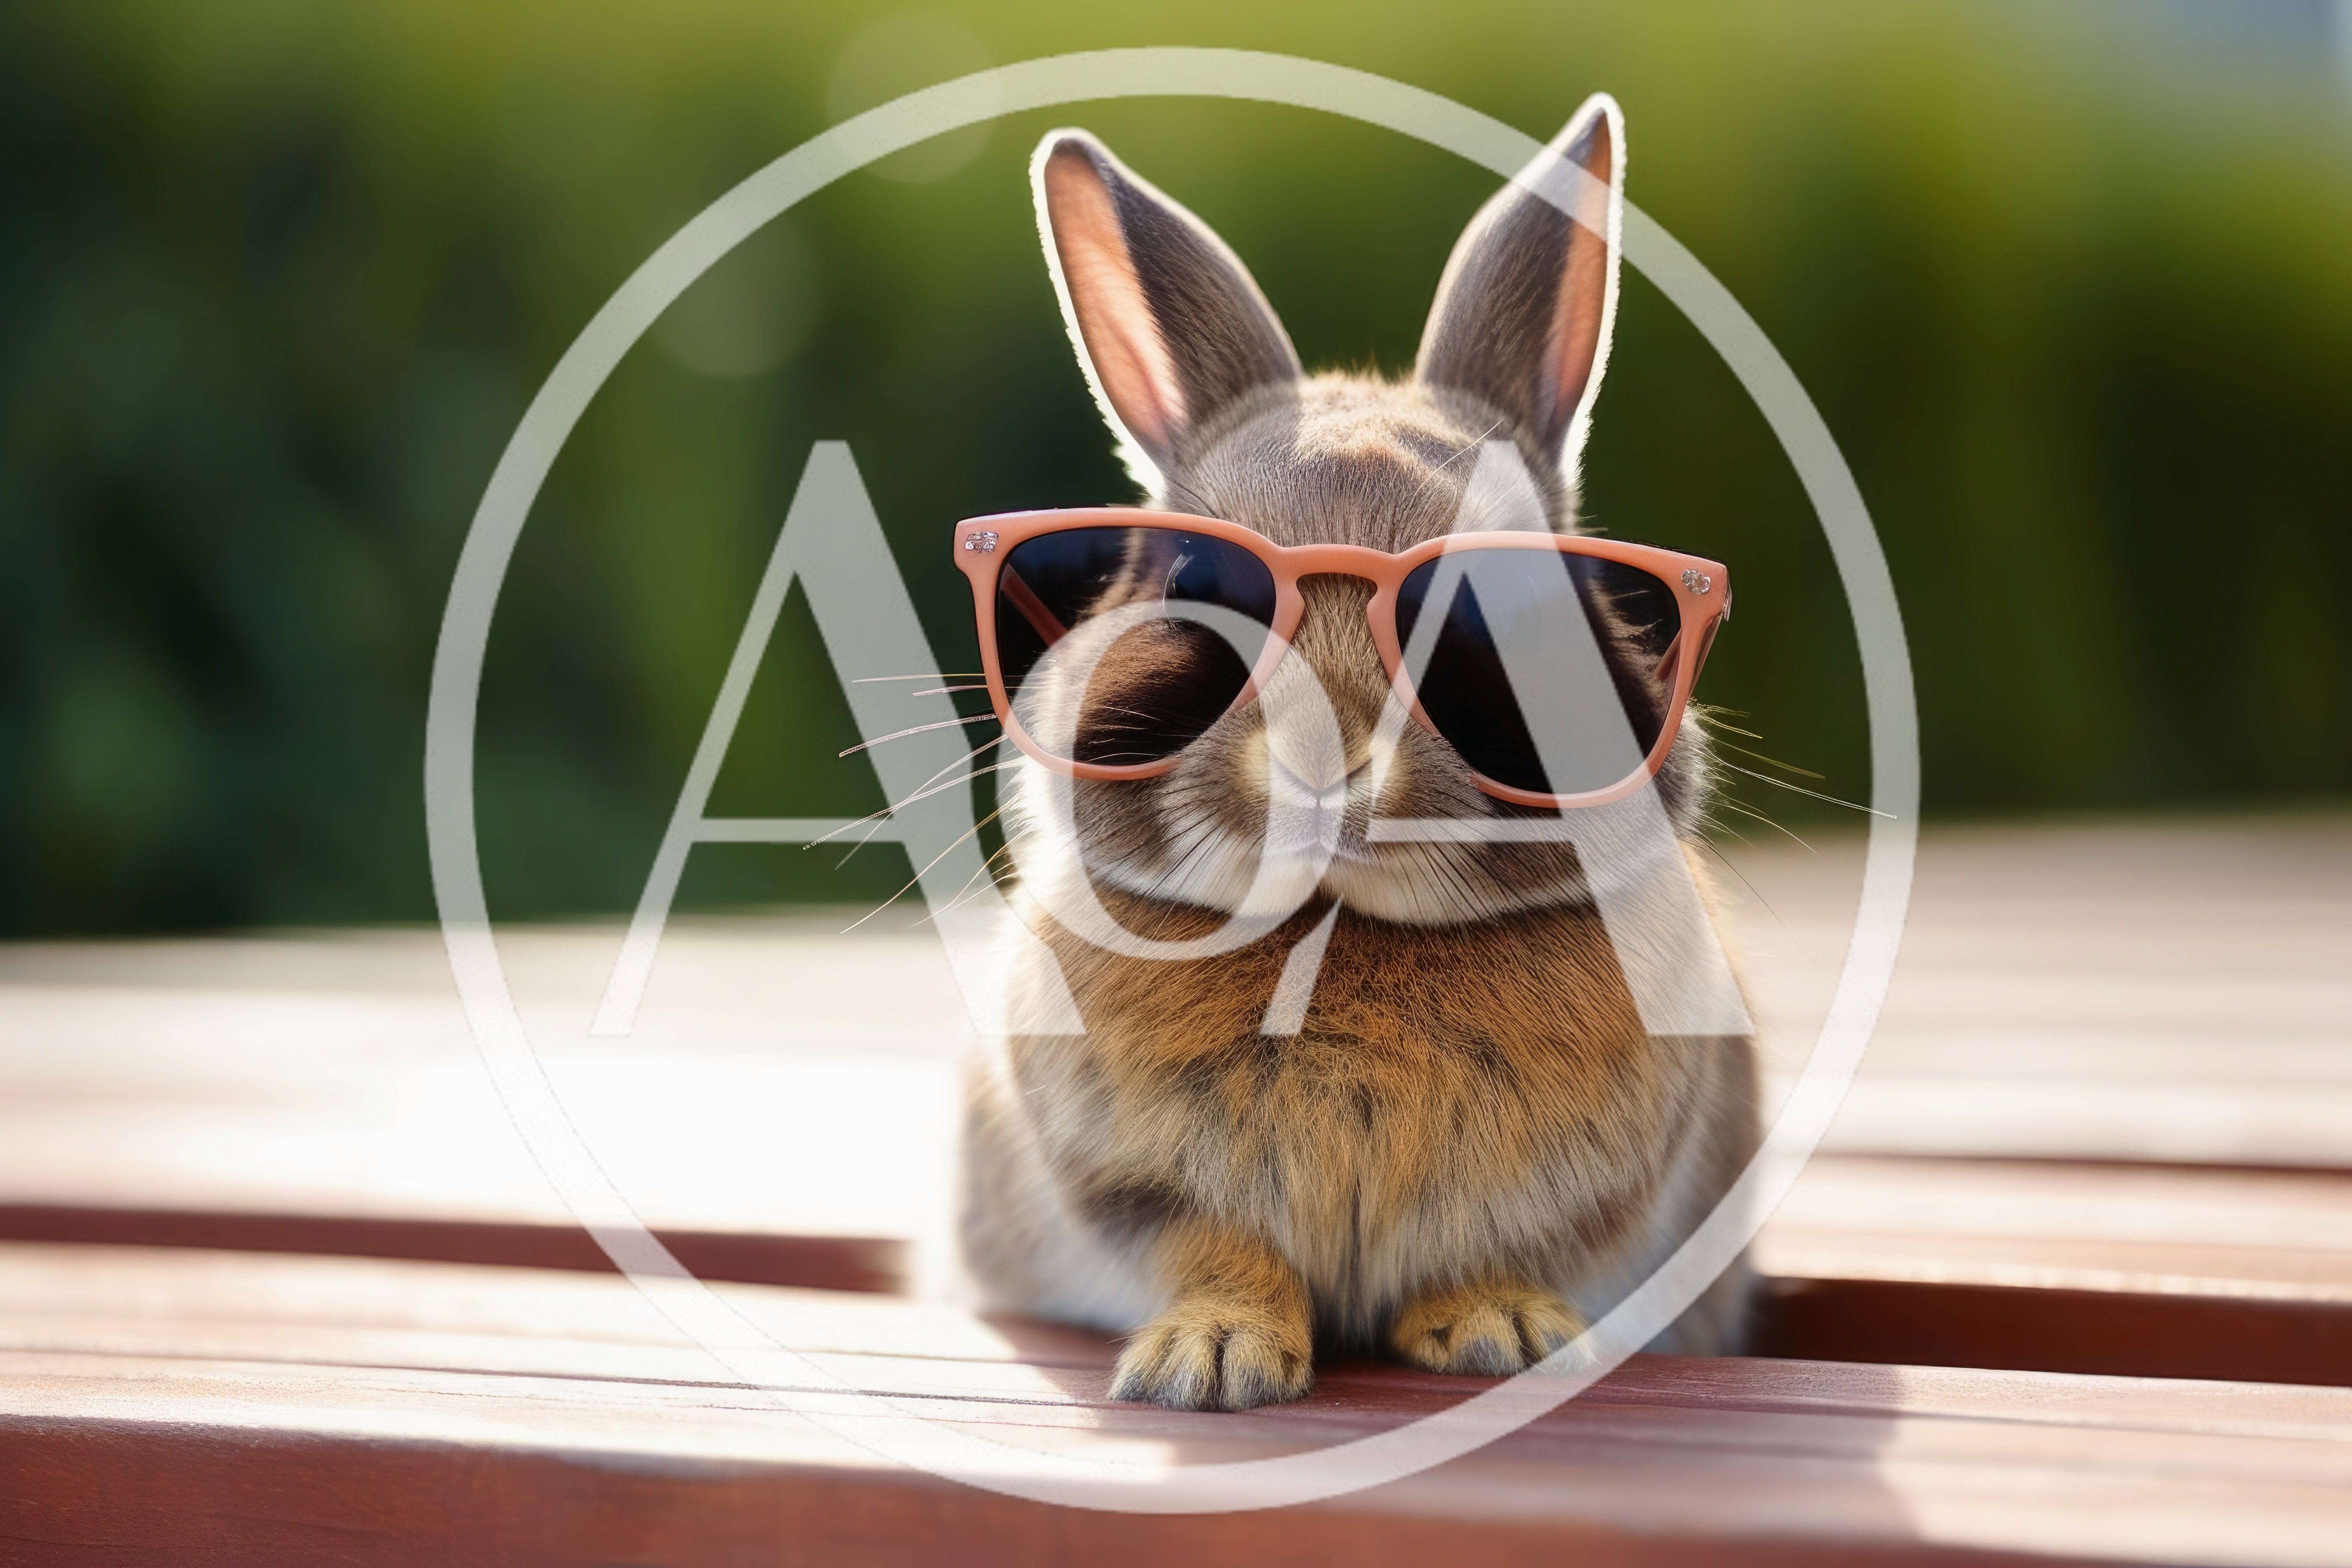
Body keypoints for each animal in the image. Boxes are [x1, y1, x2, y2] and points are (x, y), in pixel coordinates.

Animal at [957, 93, 1760, 1412]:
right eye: (1192, 585)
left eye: (1498, 609)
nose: (1324, 757)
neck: (1338, 932)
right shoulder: (1136, 1190)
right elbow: (1212, 1249)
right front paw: (1211, 1364)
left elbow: (1490, 1253)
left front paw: (1502, 1334)